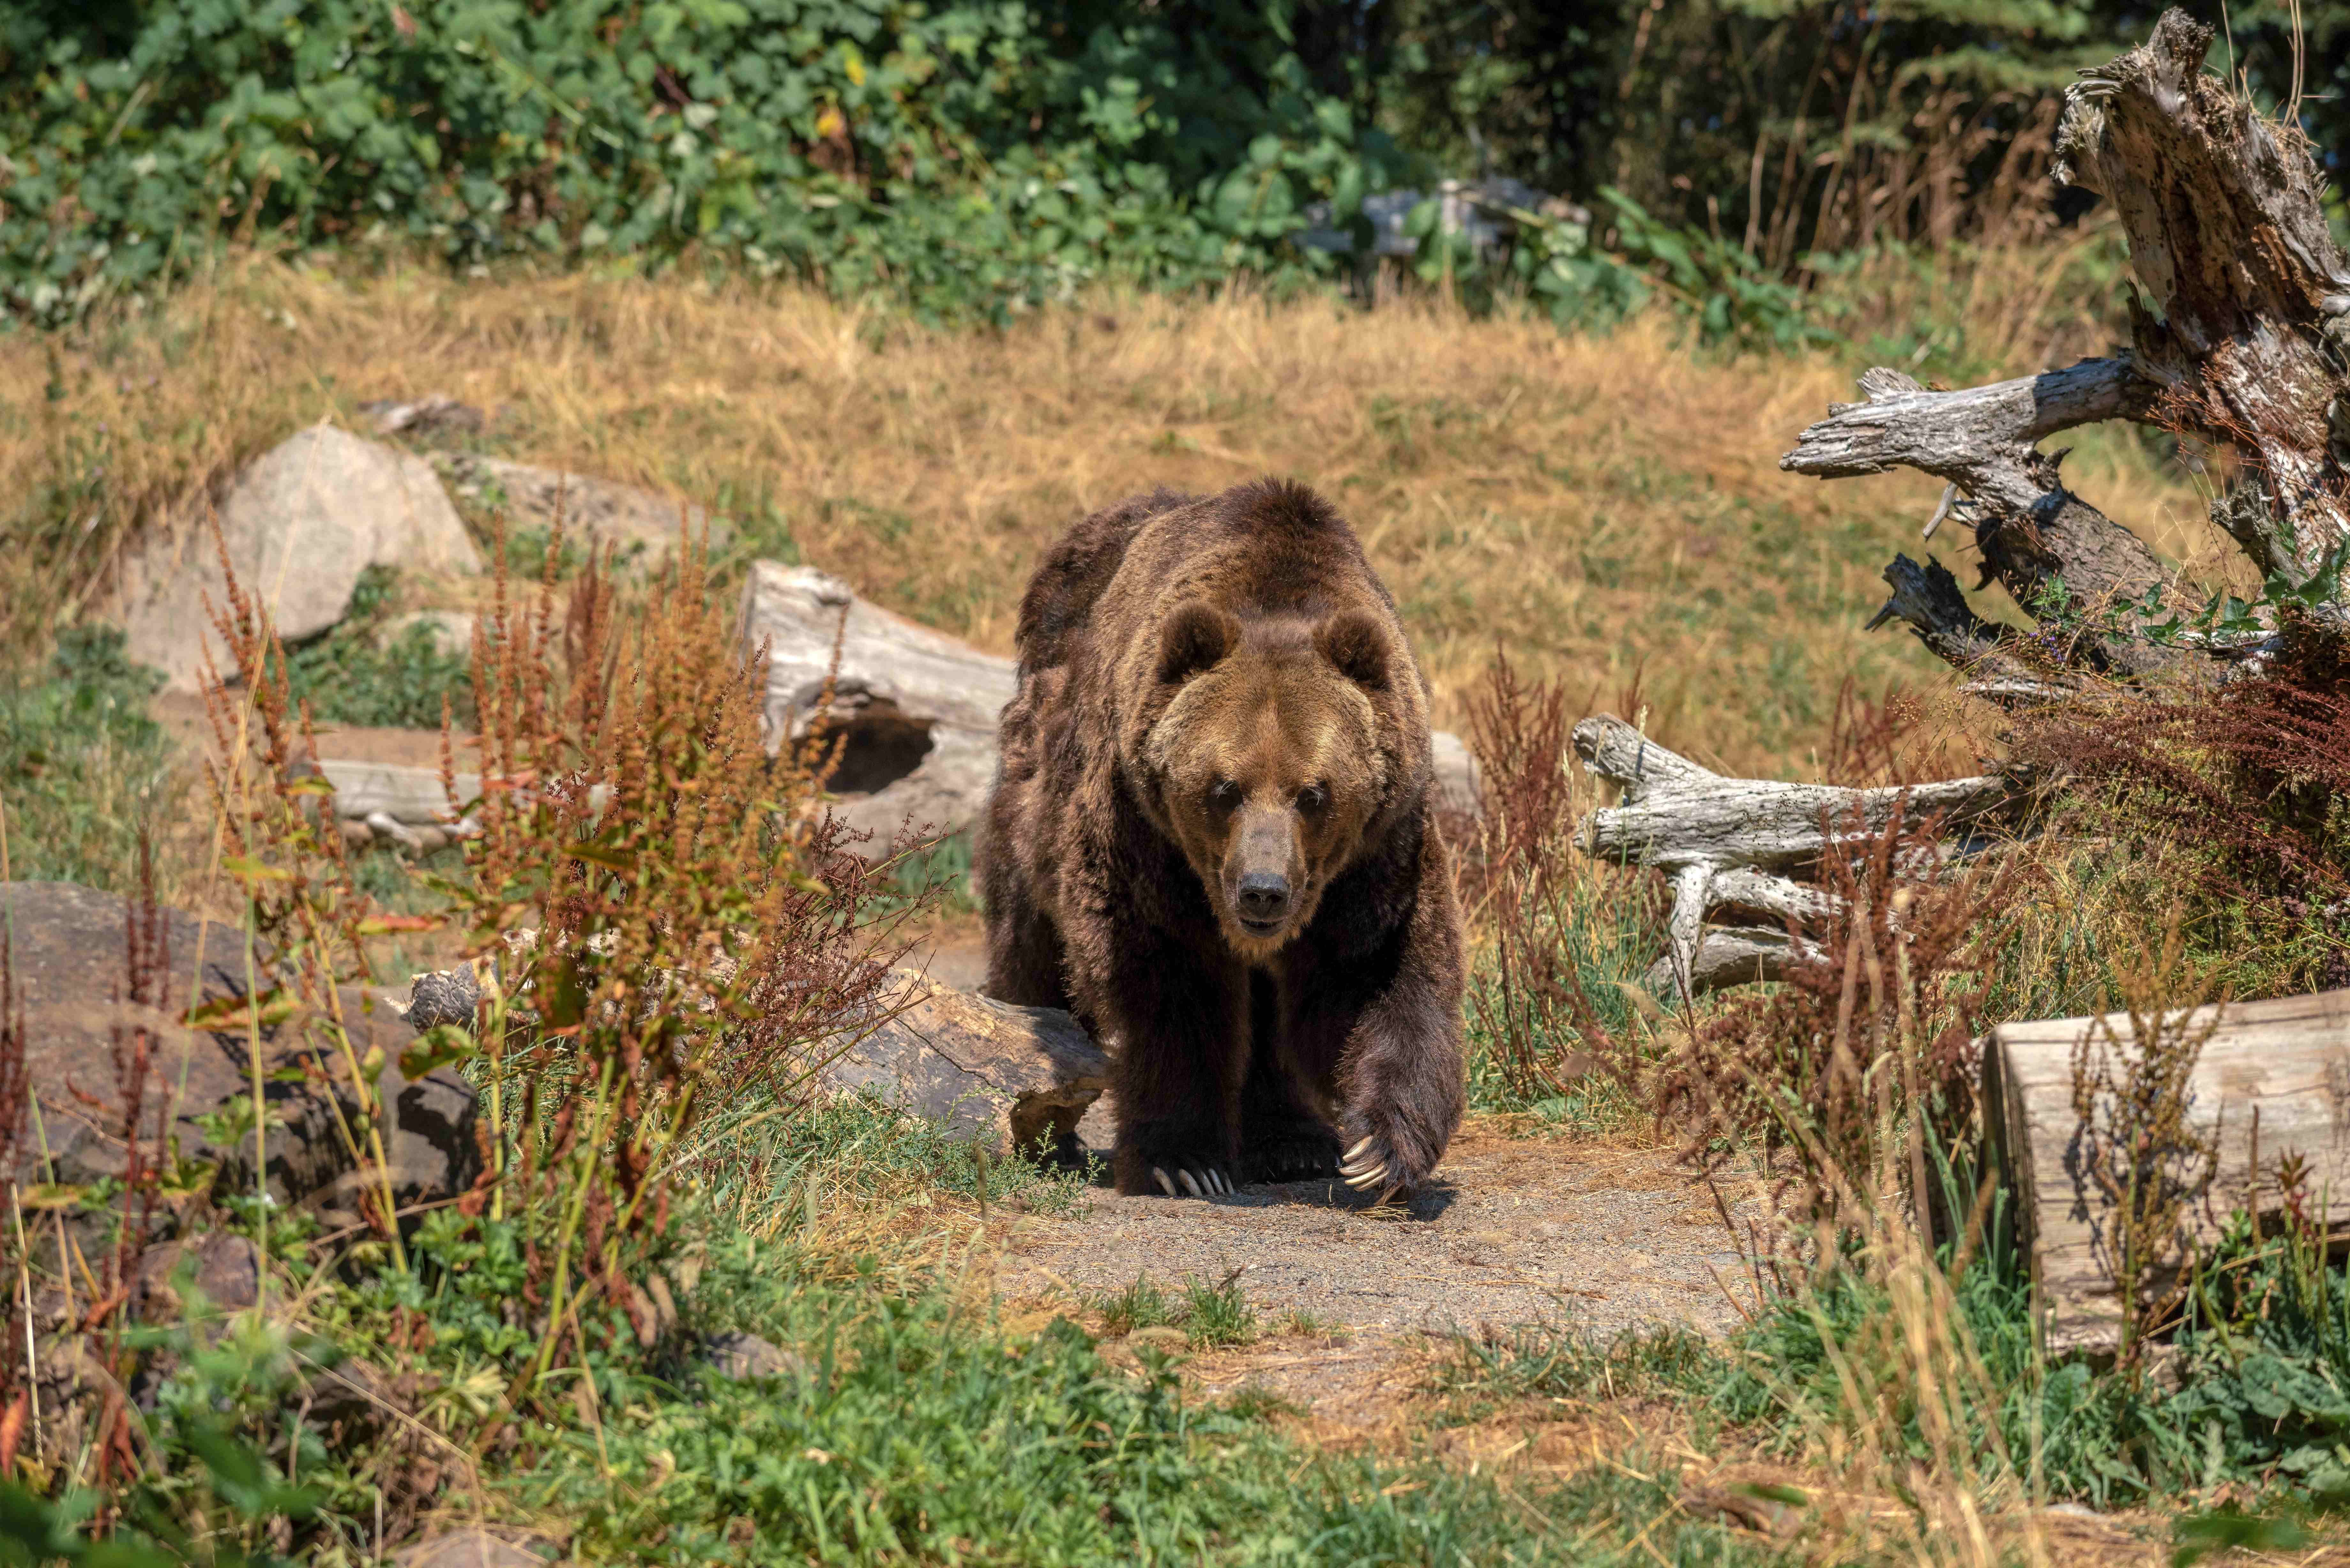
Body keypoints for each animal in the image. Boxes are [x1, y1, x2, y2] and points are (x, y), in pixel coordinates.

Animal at [978, 479, 1466, 1200]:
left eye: (1314, 792)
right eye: (1223, 787)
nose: (1263, 890)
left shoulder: (1376, 855)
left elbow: (1376, 973)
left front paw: (1378, 1146)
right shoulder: (1144, 836)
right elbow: (1169, 984)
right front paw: (1184, 1160)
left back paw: (1293, 1143)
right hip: (1036, 788)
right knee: (1032, 946)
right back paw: (1044, 1120)